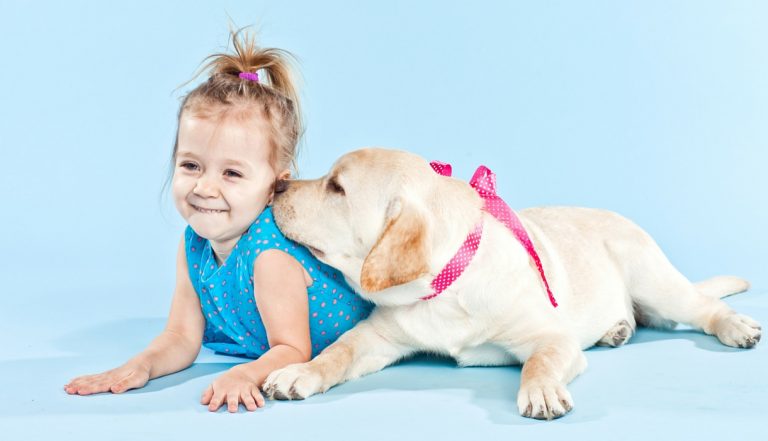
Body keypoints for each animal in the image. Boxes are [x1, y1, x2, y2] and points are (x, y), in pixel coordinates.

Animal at [260, 146, 760, 418]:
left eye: (337, 188)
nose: (278, 186)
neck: (447, 287)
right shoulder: (376, 335)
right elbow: (337, 351)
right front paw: (299, 372)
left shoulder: (550, 337)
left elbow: (539, 362)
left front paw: (540, 390)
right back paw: (616, 329)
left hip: (654, 279)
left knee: (702, 307)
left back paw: (736, 326)